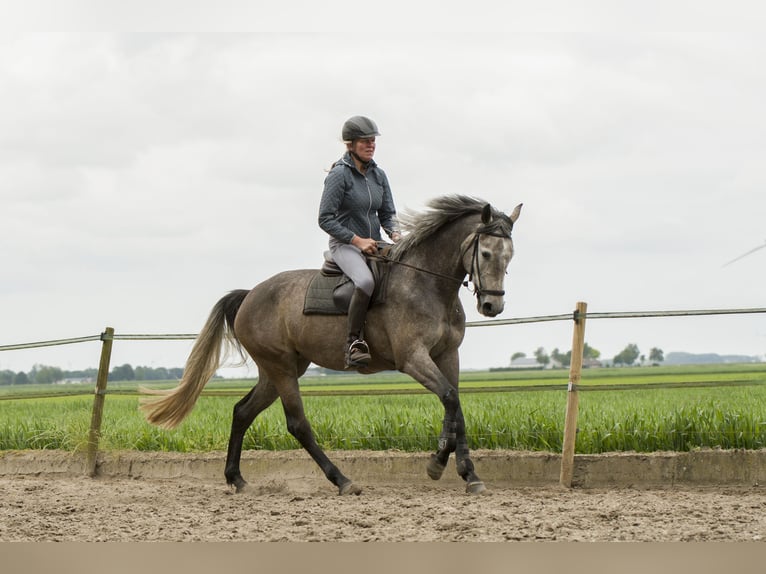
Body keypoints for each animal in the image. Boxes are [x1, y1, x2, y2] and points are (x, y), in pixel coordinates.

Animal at [140, 196, 520, 498]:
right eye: (486, 252)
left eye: (510, 256)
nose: (492, 306)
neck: (426, 283)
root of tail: (250, 295)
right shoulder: (413, 358)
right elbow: (451, 400)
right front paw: (439, 464)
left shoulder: (447, 355)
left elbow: (455, 406)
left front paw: (467, 474)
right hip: (281, 368)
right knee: (297, 423)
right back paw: (342, 480)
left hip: (280, 369)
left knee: (243, 412)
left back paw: (237, 479)